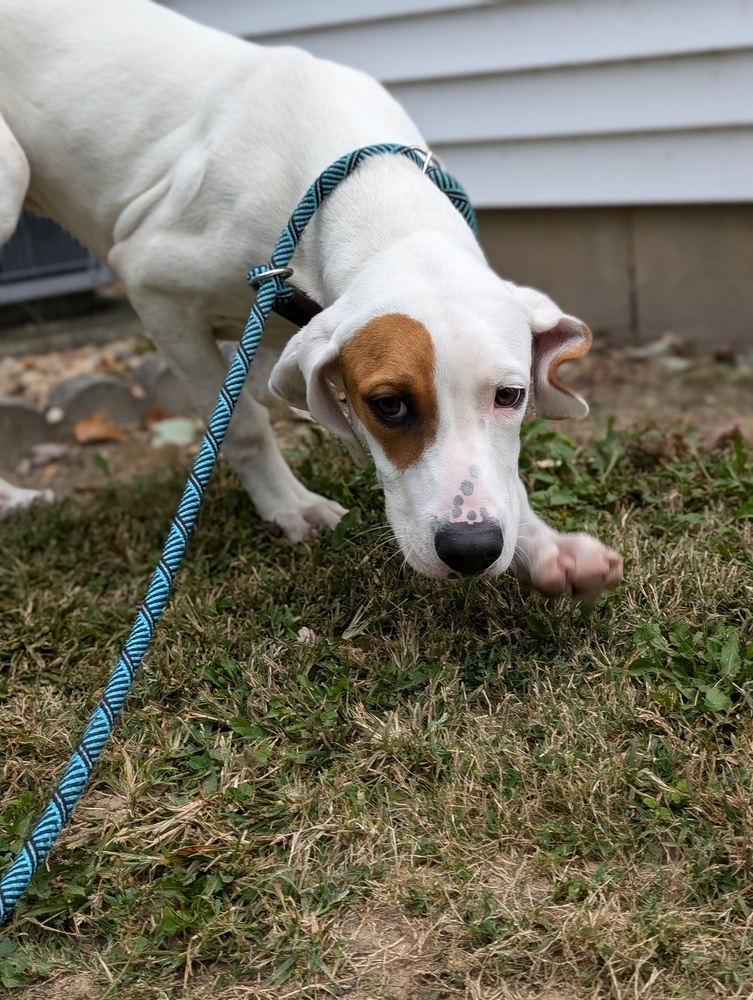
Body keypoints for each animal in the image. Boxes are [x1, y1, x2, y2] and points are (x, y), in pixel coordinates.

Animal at [0, 0, 624, 596]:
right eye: (388, 405)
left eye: (510, 396)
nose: (470, 549)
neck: (375, 198)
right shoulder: (155, 288)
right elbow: (243, 424)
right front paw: (290, 506)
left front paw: (546, 547)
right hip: (13, 178)